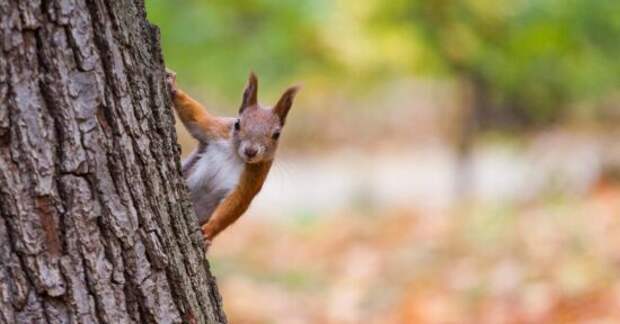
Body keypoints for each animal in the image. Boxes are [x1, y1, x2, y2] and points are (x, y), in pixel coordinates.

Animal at [166, 69, 300, 247]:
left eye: (276, 135)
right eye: (237, 124)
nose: (251, 151)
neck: (235, 155)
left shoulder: (253, 179)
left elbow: (236, 203)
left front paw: (210, 231)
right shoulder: (216, 130)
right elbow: (197, 118)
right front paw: (173, 87)